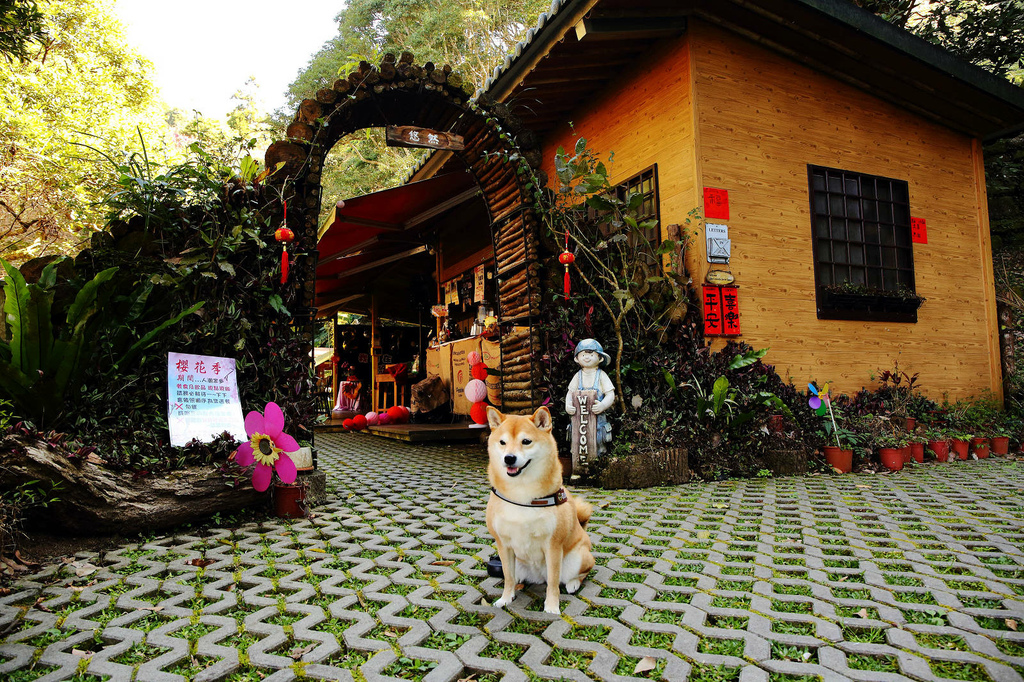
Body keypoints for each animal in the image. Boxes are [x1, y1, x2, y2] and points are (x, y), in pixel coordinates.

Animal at [485, 405, 598, 614]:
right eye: (502, 442)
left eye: (526, 441)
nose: (509, 458)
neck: (522, 494)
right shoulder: (503, 545)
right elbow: (508, 577)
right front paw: (505, 599)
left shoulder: (553, 545)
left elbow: (553, 582)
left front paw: (552, 607)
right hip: (519, 562)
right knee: (516, 577)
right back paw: (518, 586)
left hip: (577, 558)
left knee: (578, 574)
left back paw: (572, 584)